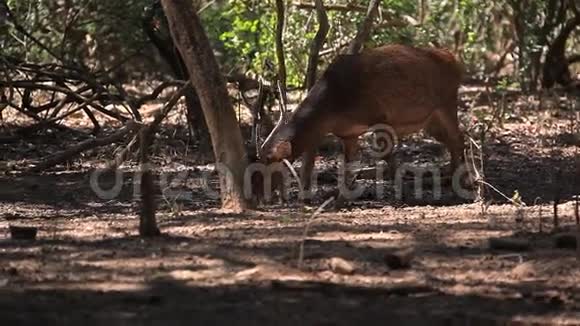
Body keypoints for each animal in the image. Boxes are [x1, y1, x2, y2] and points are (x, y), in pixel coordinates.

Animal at [258, 43, 466, 201]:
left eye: (270, 160)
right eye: (259, 159)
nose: (260, 195)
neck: (332, 109)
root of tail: (455, 59)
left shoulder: (380, 116)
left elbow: (386, 154)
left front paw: (403, 193)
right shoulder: (348, 132)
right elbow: (347, 165)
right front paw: (340, 199)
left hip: (448, 101)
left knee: (458, 138)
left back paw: (461, 185)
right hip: (430, 119)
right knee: (450, 140)